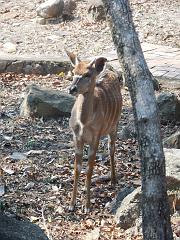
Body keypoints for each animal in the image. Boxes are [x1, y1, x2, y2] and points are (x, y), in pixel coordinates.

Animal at [66, 50, 122, 212]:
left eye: (87, 74)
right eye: (74, 72)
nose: (72, 89)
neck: (84, 122)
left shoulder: (95, 138)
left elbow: (90, 169)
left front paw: (87, 206)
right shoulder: (76, 137)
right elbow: (77, 168)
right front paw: (71, 205)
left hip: (114, 127)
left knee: (111, 149)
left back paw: (113, 180)